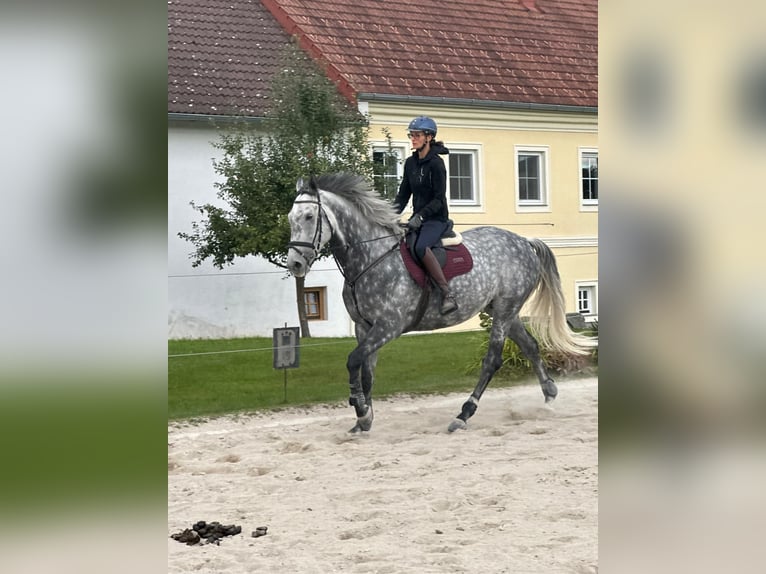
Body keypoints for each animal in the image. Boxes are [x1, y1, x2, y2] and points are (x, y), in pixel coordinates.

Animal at [286, 173, 595, 433]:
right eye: (290, 218)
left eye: (310, 216)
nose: (295, 264)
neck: (370, 259)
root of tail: (524, 241)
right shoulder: (365, 327)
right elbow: (366, 371)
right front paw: (365, 418)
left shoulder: (388, 327)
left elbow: (353, 361)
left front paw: (361, 410)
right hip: (504, 310)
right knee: (530, 346)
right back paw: (549, 395)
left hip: (506, 310)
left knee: (492, 360)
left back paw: (464, 414)